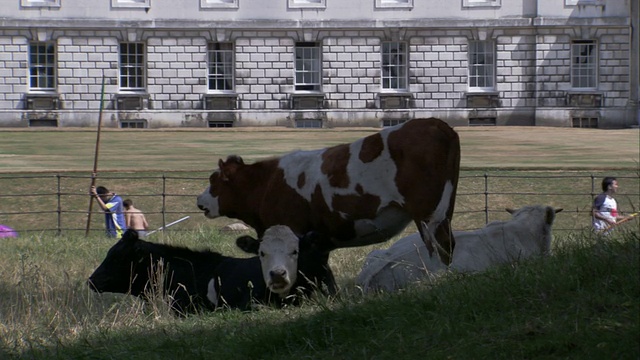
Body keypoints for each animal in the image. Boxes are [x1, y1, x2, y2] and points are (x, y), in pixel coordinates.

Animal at [195, 118, 460, 262]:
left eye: (214, 180)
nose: (199, 200)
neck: (267, 183)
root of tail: (434, 123)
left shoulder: (292, 229)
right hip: (443, 211)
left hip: (429, 215)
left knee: (439, 247)